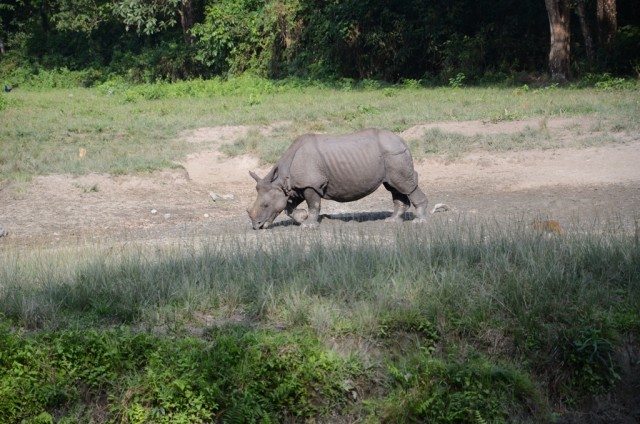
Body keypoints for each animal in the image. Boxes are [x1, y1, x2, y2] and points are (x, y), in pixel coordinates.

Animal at [247, 128, 428, 229]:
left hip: (394, 154)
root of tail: (402, 140)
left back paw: (419, 222)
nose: (256, 226)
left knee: (404, 185)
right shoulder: (296, 186)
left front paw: (308, 225)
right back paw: (392, 221)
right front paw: (302, 218)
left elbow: (314, 205)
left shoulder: (310, 184)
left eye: (265, 205)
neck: (282, 179)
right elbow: (288, 207)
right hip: (391, 154)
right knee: (393, 186)